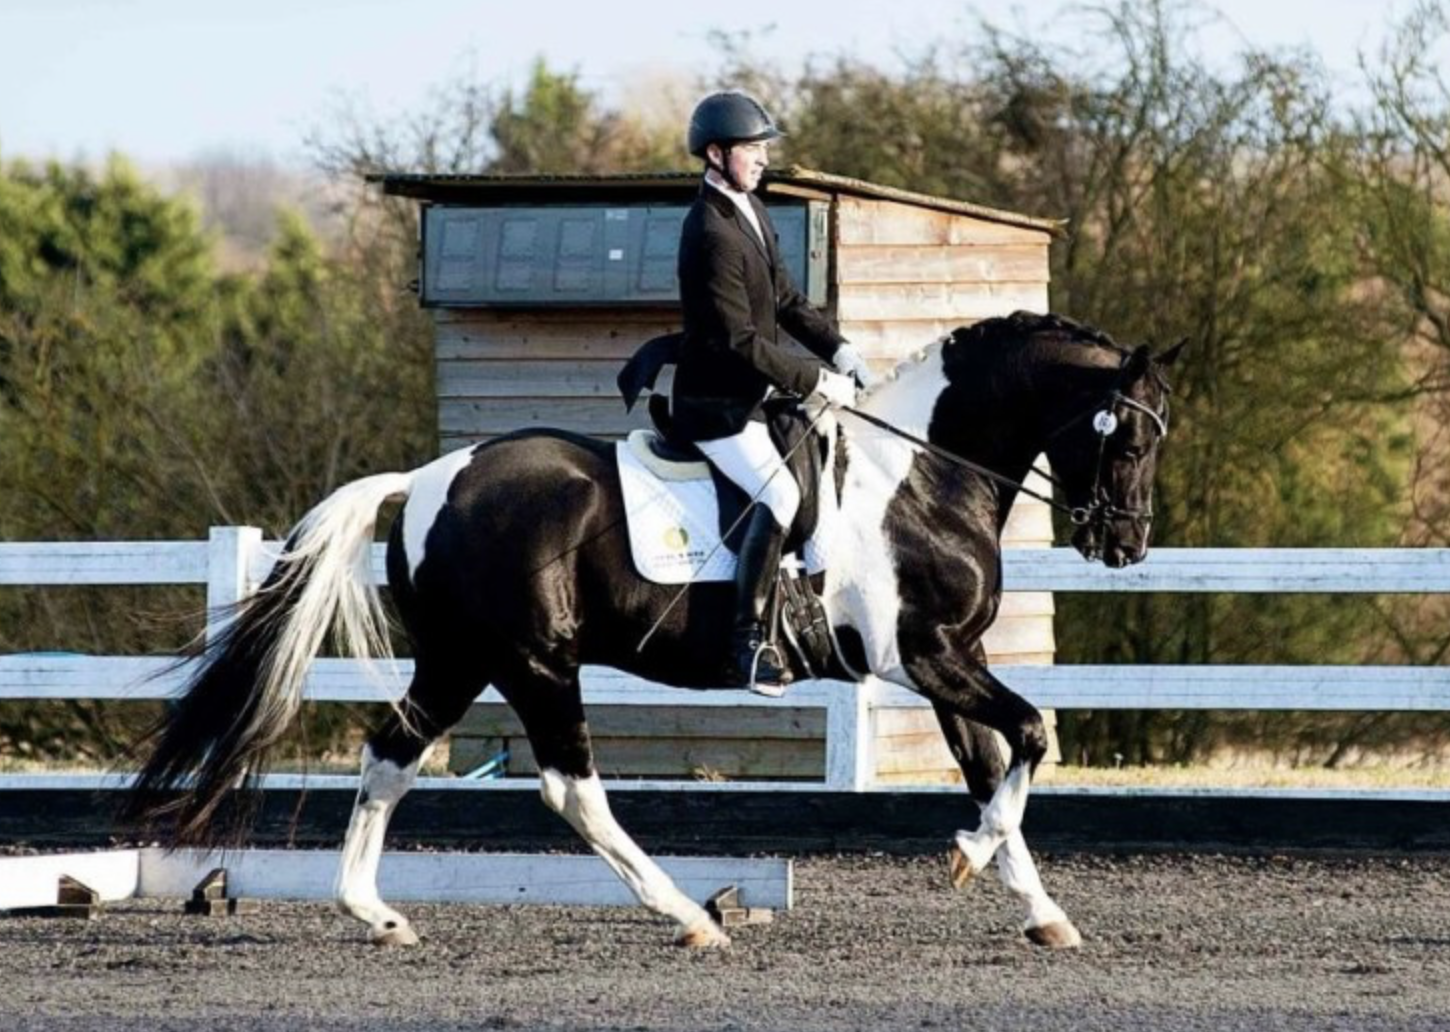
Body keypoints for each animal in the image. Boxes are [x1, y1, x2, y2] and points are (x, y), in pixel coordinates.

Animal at [124, 310, 1181, 950]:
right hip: (536, 662)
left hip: (461, 659)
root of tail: (430, 479)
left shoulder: (948, 661)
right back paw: (687, 914)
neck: (917, 479)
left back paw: (375, 913)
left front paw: (1039, 909)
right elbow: (1031, 735)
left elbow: (994, 764)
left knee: (390, 754)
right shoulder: (923, 657)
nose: (1125, 545)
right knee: (570, 788)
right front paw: (971, 855)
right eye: (1126, 436)